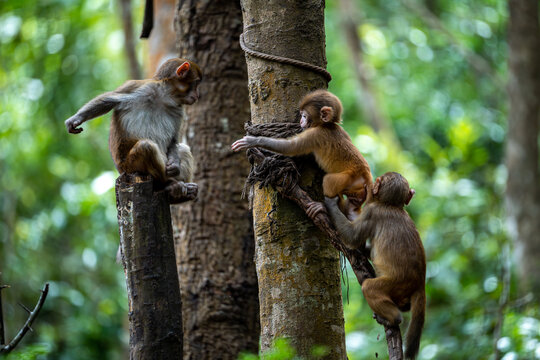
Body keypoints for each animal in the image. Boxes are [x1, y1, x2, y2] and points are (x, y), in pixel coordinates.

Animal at [65, 57, 200, 201]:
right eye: (196, 83)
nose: (197, 95)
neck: (164, 97)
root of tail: (121, 171)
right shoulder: (139, 86)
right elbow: (108, 99)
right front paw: (76, 119)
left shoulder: (179, 109)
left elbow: (173, 140)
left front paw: (174, 165)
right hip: (130, 167)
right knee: (146, 147)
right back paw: (167, 184)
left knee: (183, 149)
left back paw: (182, 194)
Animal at [230, 90, 374, 219]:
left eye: (304, 116)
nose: (300, 122)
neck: (327, 125)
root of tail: (366, 176)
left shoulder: (315, 134)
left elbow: (291, 147)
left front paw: (253, 140)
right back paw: (350, 212)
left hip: (348, 179)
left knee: (328, 181)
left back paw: (325, 208)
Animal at [324, 172, 426, 360]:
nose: (369, 187)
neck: (391, 205)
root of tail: (420, 283)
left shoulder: (372, 212)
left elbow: (352, 237)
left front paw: (331, 204)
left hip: (396, 284)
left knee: (369, 287)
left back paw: (393, 318)